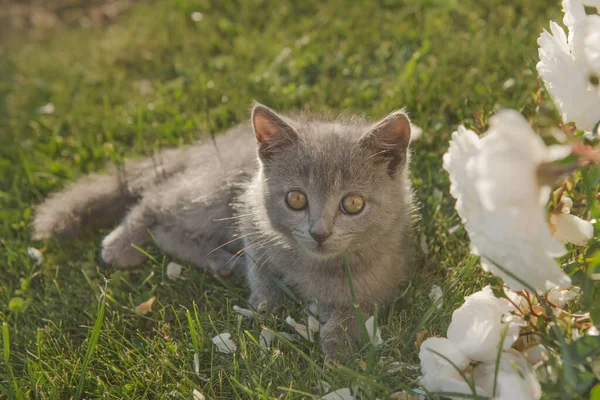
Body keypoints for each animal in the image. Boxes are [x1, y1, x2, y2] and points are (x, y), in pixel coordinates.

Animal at [32, 102, 414, 356]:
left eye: (353, 204)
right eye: (295, 199)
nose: (319, 233)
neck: (316, 267)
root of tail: (201, 149)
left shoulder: (385, 275)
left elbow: (359, 310)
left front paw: (338, 349)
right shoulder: (249, 213)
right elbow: (261, 268)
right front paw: (266, 306)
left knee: (165, 229)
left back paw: (219, 261)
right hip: (211, 192)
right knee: (154, 203)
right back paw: (120, 246)